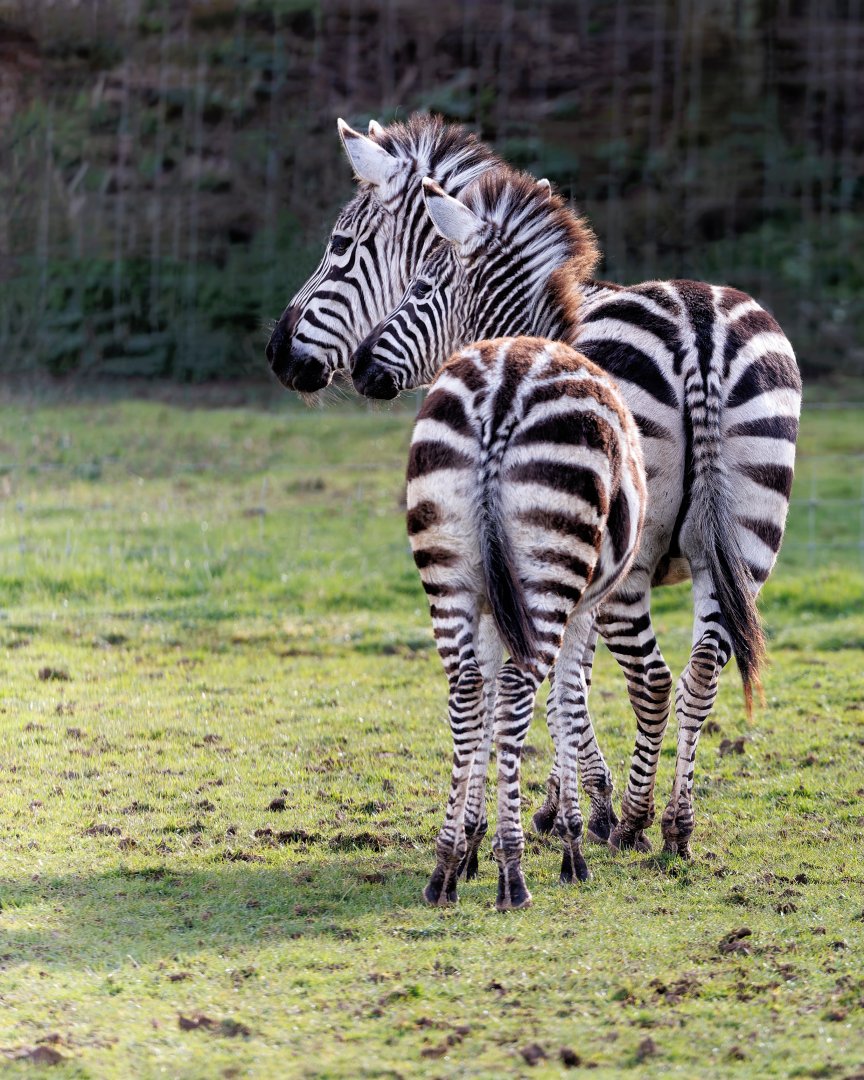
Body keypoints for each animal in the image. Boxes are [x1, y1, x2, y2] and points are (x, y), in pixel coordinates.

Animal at [408, 335, 646, 909]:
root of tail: (504, 391)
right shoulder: (582, 611)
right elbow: (568, 703)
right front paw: (573, 844)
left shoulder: (493, 611)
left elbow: (490, 704)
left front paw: (470, 844)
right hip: (551, 572)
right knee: (519, 691)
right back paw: (512, 874)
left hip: (451, 578)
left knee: (467, 690)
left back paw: (443, 869)